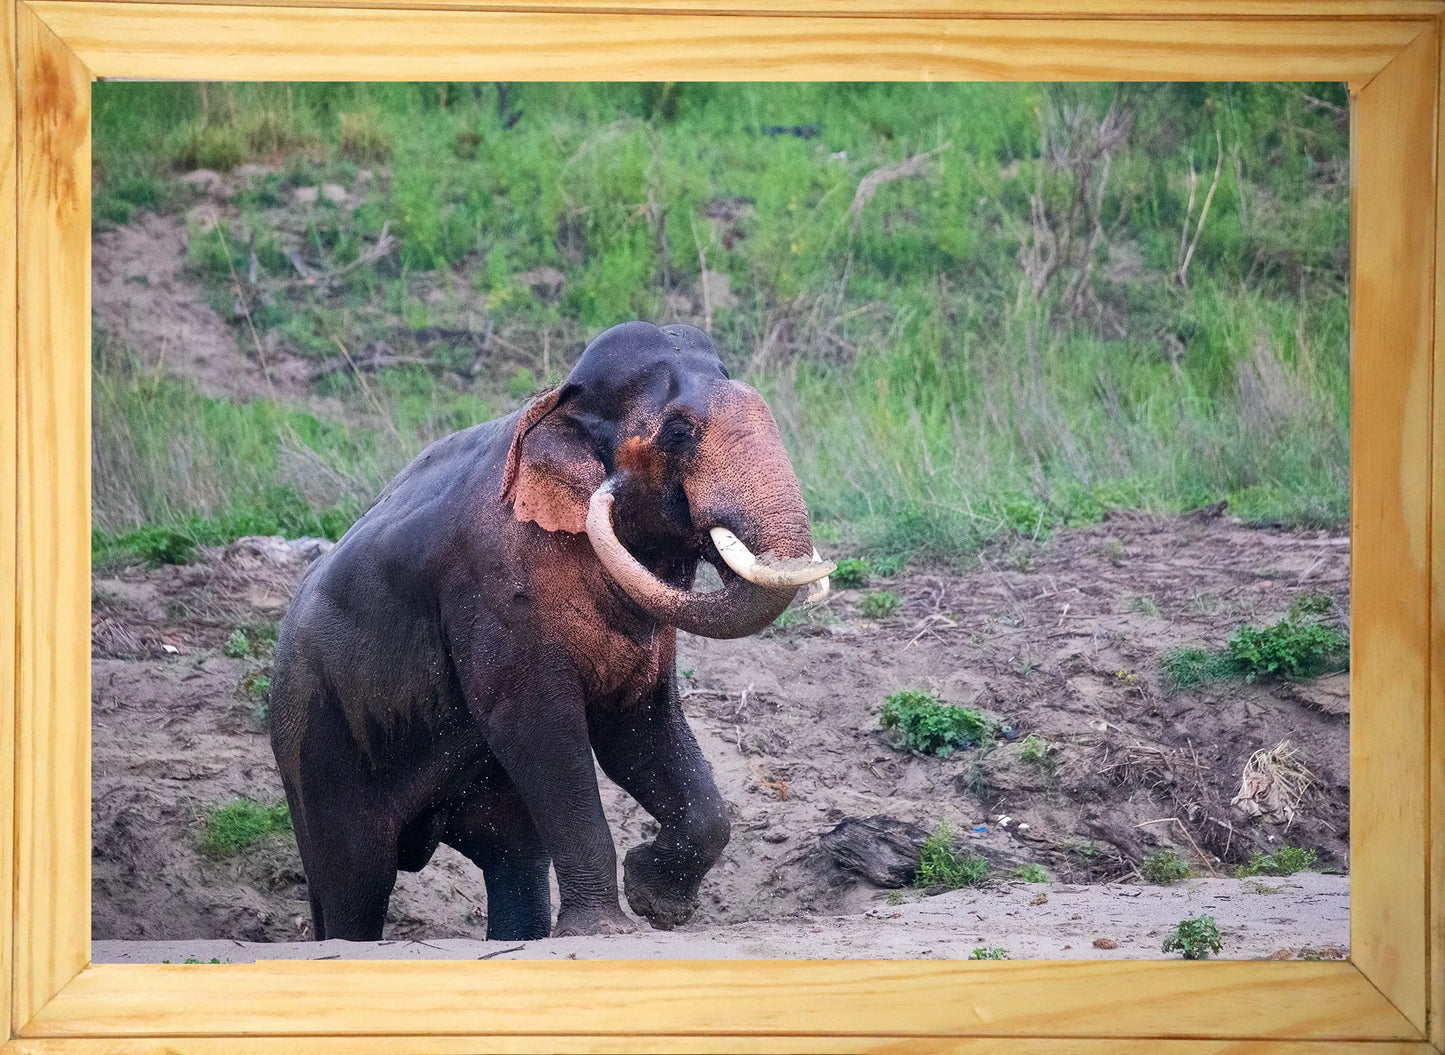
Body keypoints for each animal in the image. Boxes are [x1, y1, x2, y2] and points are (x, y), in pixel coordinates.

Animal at [269, 321, 833, 941]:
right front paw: (606, 928)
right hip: (315, 749)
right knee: (354, 881)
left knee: (513, 857)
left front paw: (656, 901)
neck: (561, 403)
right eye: (679, 433)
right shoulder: (491, 588)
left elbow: (635, 727)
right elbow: (540, 729)